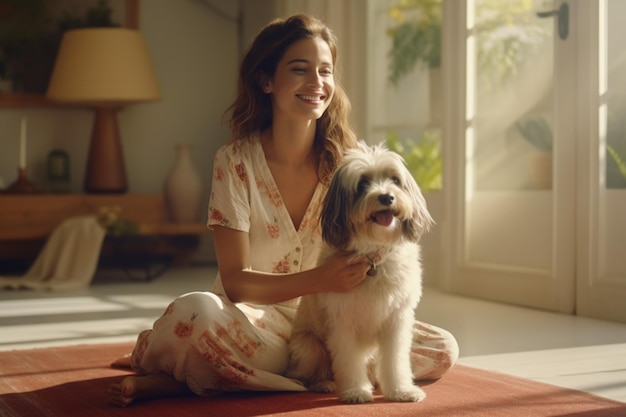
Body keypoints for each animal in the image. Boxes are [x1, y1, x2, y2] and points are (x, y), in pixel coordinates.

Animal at [286, 141, 432, 402]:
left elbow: (395, 361)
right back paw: (324, 384)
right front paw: (355, 391)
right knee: (307, 376)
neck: (373, 258)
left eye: (394, 180)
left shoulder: (396, 322)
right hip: (308, 348)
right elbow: (349, 361)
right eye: (363, 184)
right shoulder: (342, 323)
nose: (386, 197)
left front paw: (400, 390)